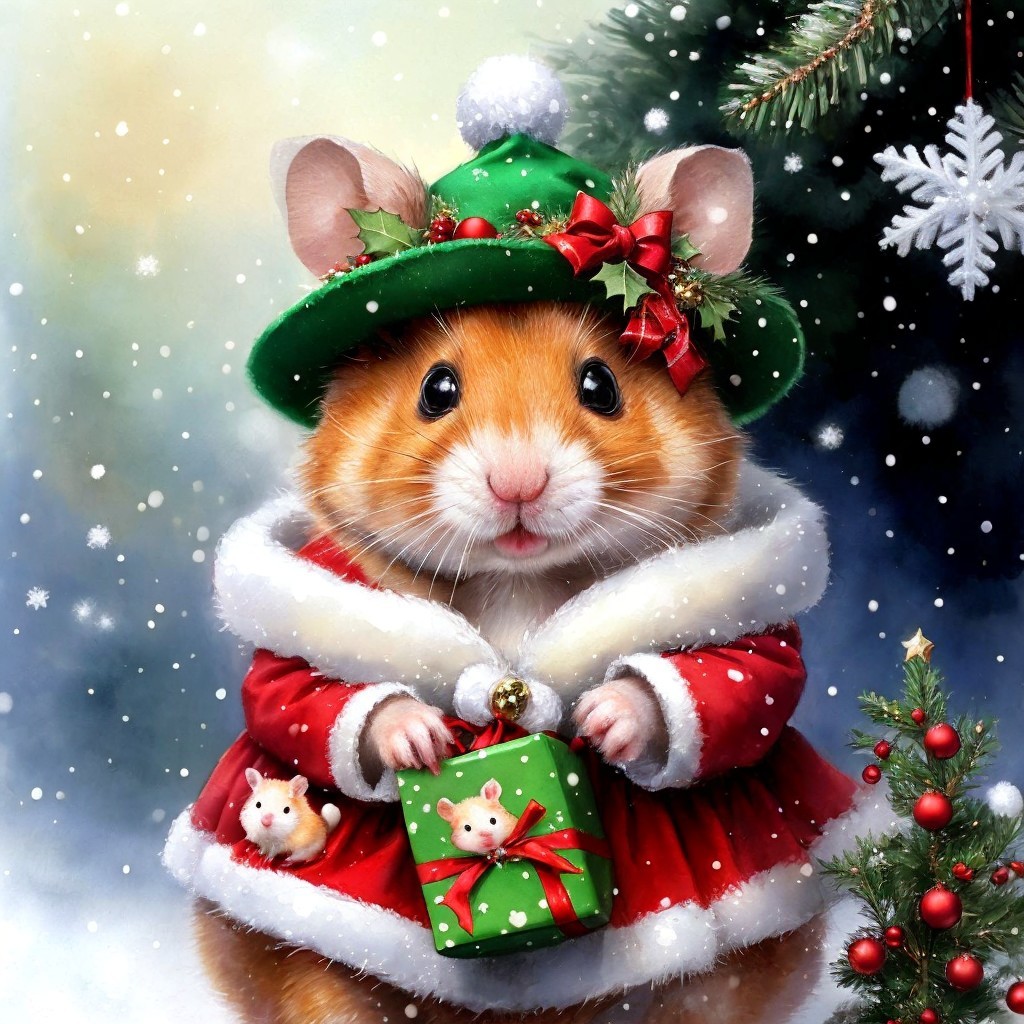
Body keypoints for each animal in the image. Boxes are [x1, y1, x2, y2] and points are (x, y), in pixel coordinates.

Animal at [302, 301, 742, 777]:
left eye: (600, 386)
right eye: (436, 390)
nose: (519, 484)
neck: (518, 580)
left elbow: (726, 666)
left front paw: (604, 717)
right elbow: (312, 689)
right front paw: (420, 739)